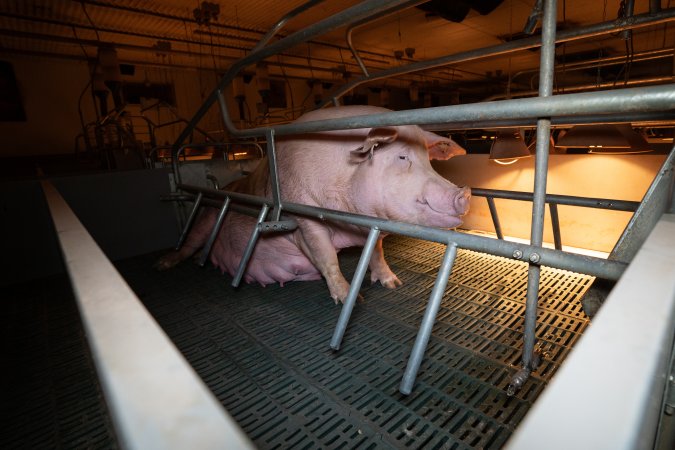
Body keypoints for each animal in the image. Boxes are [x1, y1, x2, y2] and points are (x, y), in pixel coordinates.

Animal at [158, 105, 470, 302]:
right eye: (402, 157)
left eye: (428, 160)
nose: (463, 195)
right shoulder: (304, 218)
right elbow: (327, 257)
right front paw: (352, 299)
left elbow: (377, 253)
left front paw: (394, 284)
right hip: (206, 218)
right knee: (189, 244)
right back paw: (164, 265)